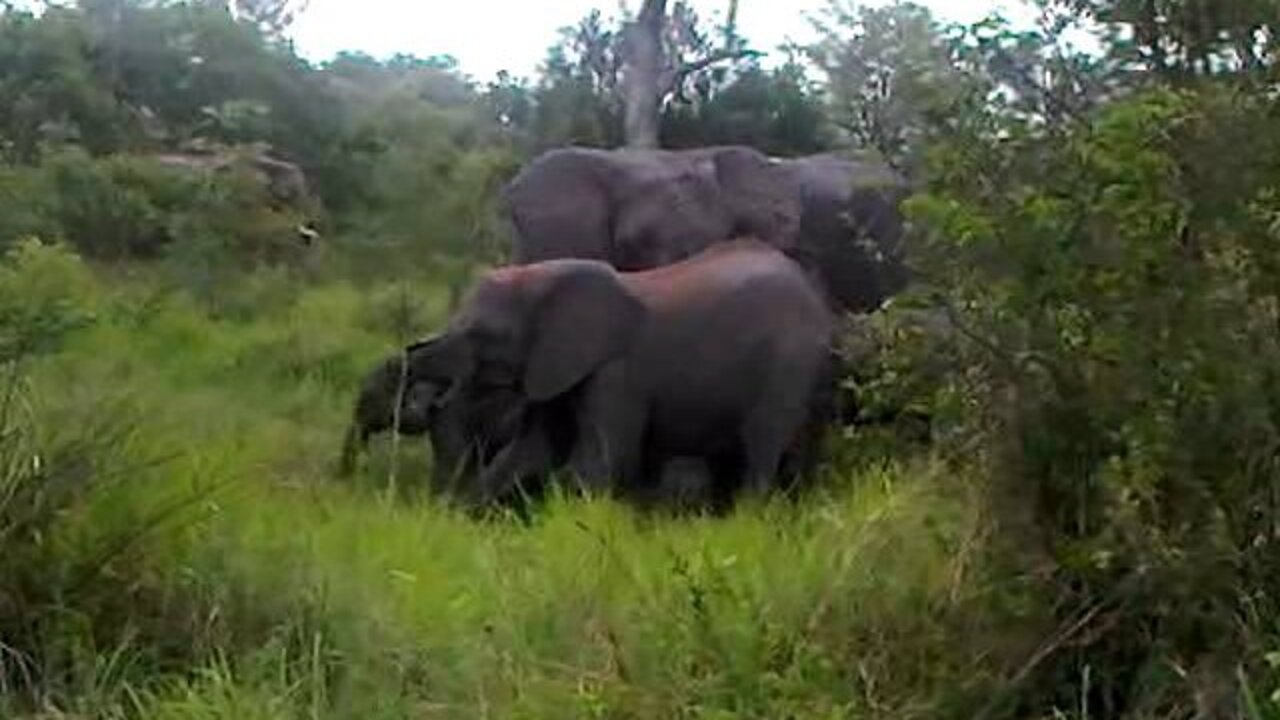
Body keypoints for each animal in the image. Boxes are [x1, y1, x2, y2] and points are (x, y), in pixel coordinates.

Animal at [404, 238, 834, 507]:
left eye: (484, 334)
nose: (411, 350)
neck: (544, 278)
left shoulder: (616, 370)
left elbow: (605, 459)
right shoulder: (555, 366)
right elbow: (529, 451)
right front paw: (461, 517)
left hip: (791, 361)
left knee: (764, 442)